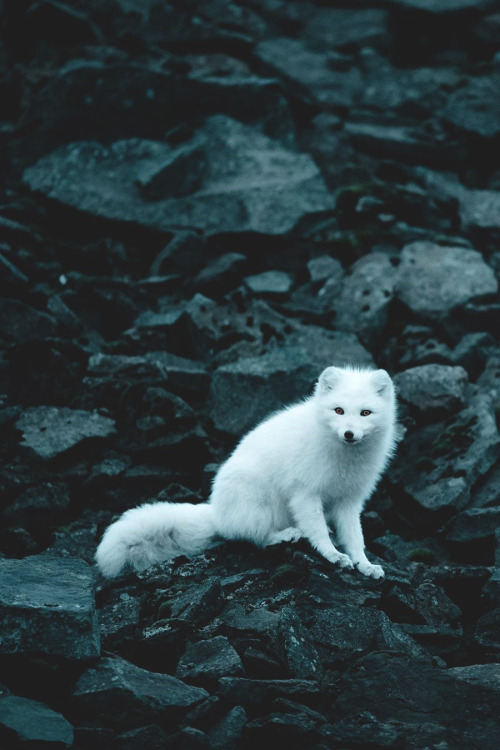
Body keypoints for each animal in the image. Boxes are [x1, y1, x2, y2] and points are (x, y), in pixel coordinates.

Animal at [95, 368, 396, 580]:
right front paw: (333, 554)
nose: (349, 434)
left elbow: (355, 537)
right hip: (256, 497)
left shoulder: (350, 500)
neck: (345, 462)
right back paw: (286, 535)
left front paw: (365, 564)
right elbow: (317, 529)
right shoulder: (305, 492)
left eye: (365, 413)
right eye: (339, 410)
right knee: (255, 537)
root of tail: (217, 511)